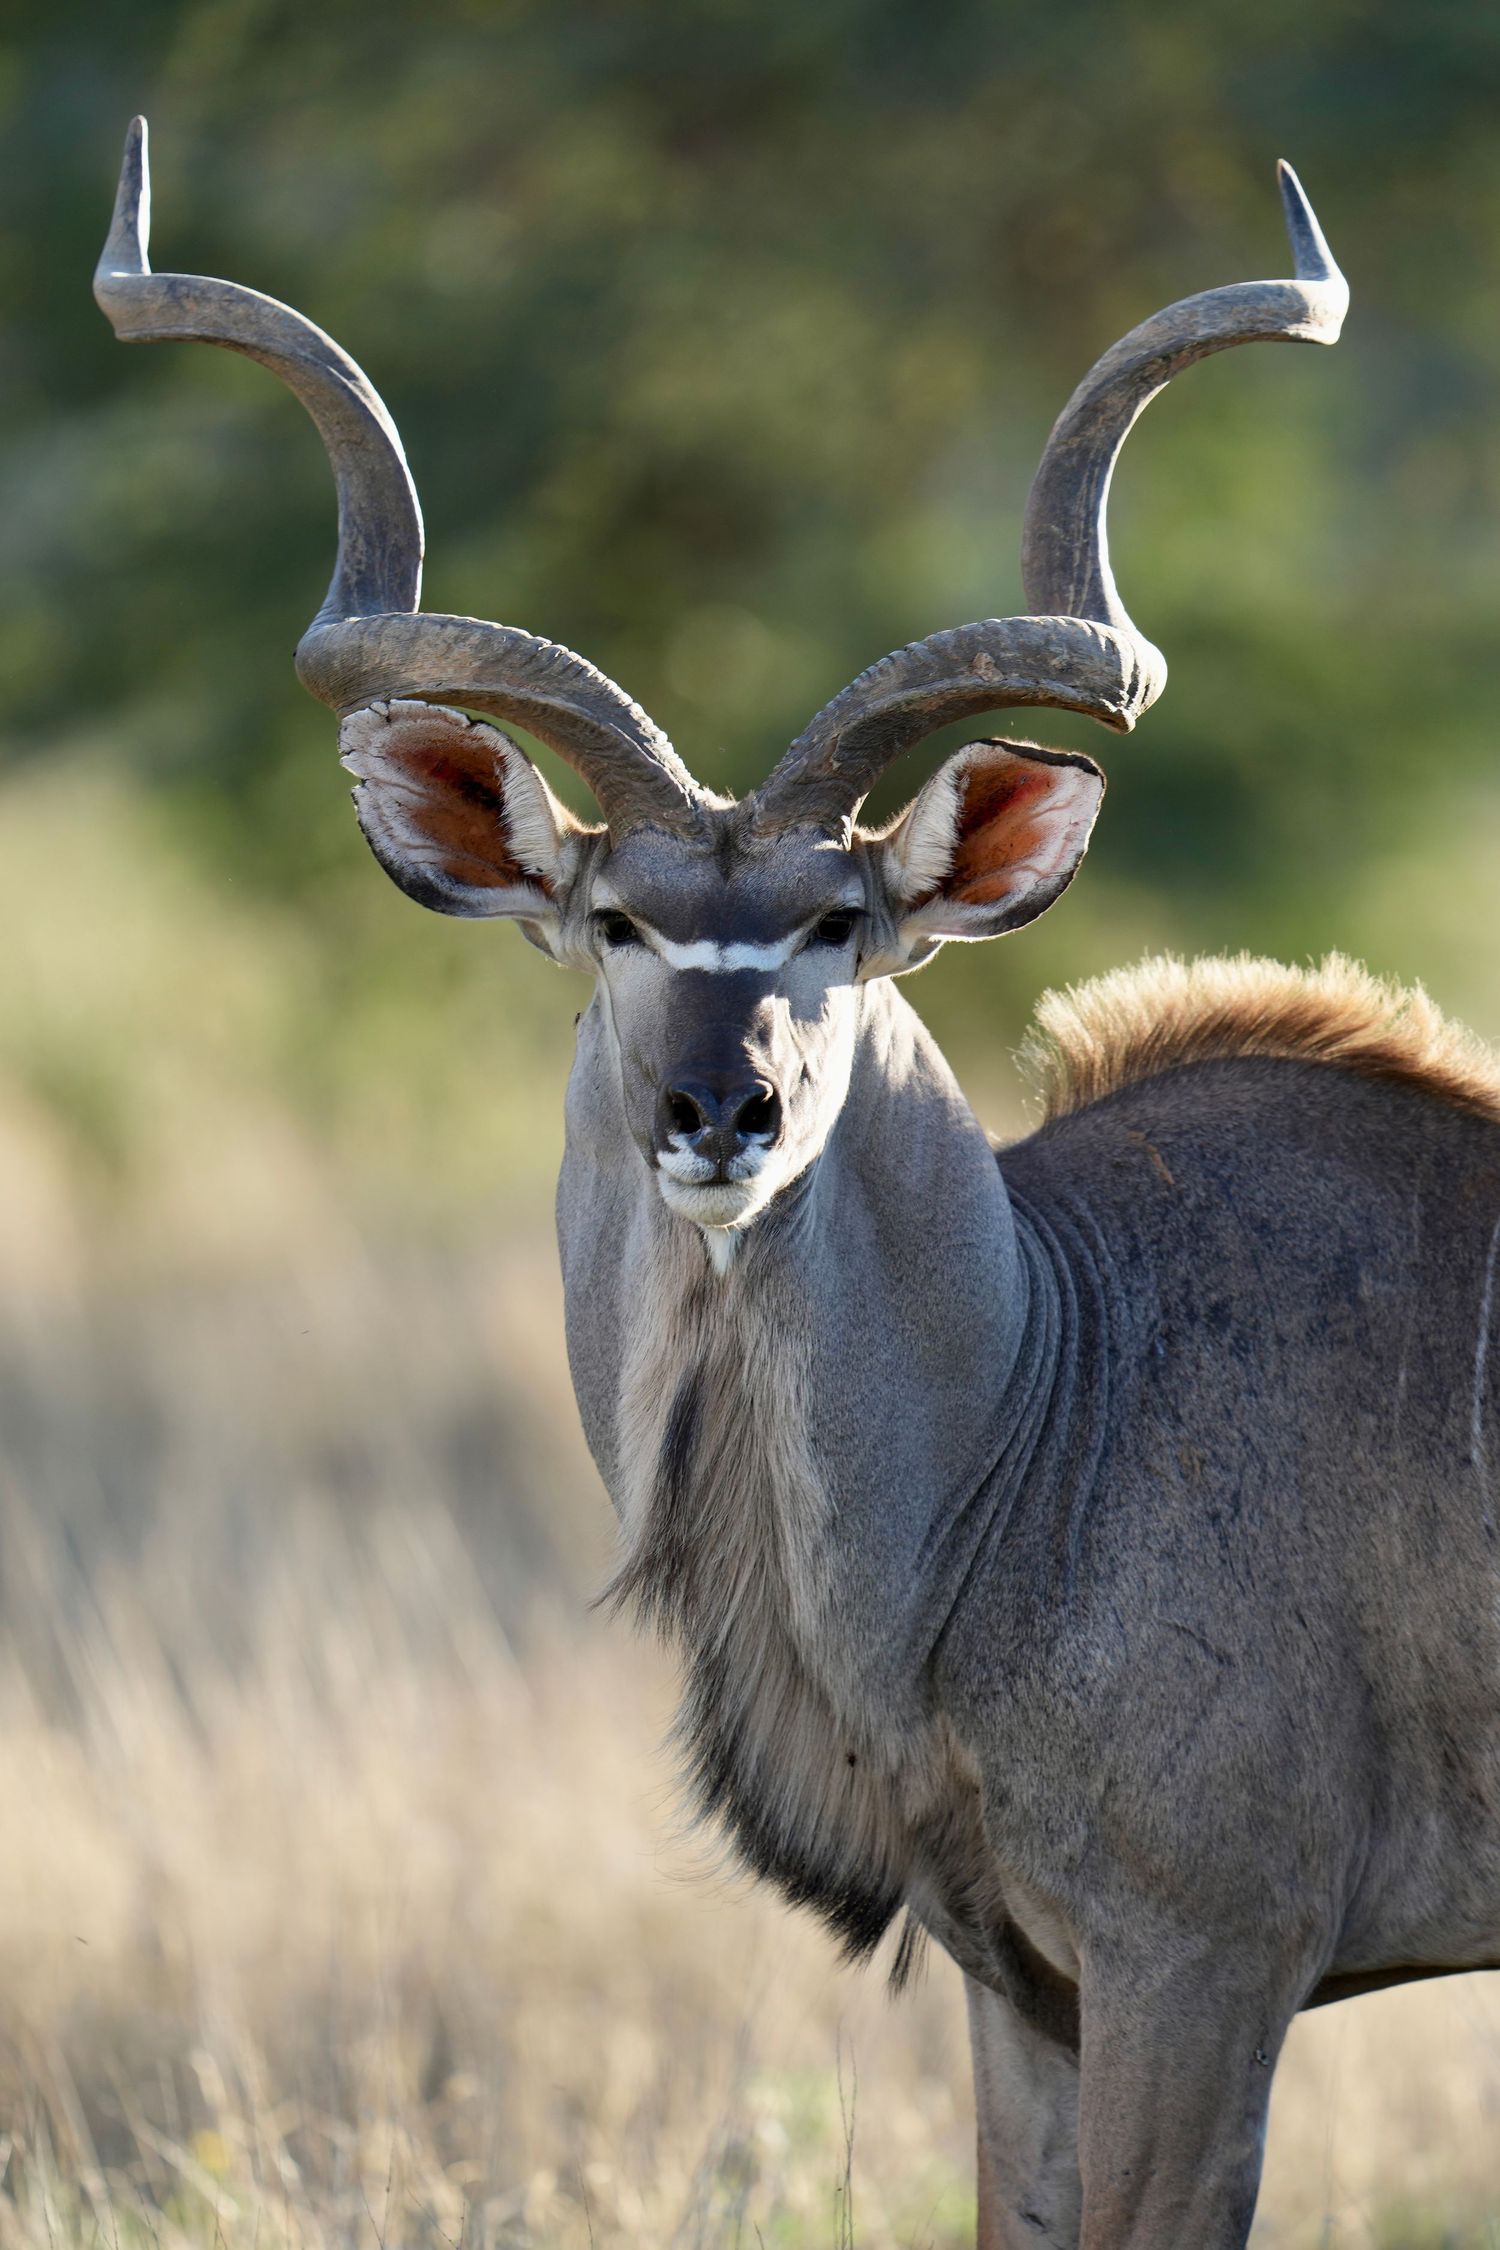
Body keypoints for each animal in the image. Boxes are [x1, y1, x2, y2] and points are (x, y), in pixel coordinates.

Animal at [96, 120, 1500, 2248]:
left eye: (839, 921)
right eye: (612, 919)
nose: (721, 1114)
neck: (1055, 1391)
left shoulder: (1206, 1959)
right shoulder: (1031, 1994)